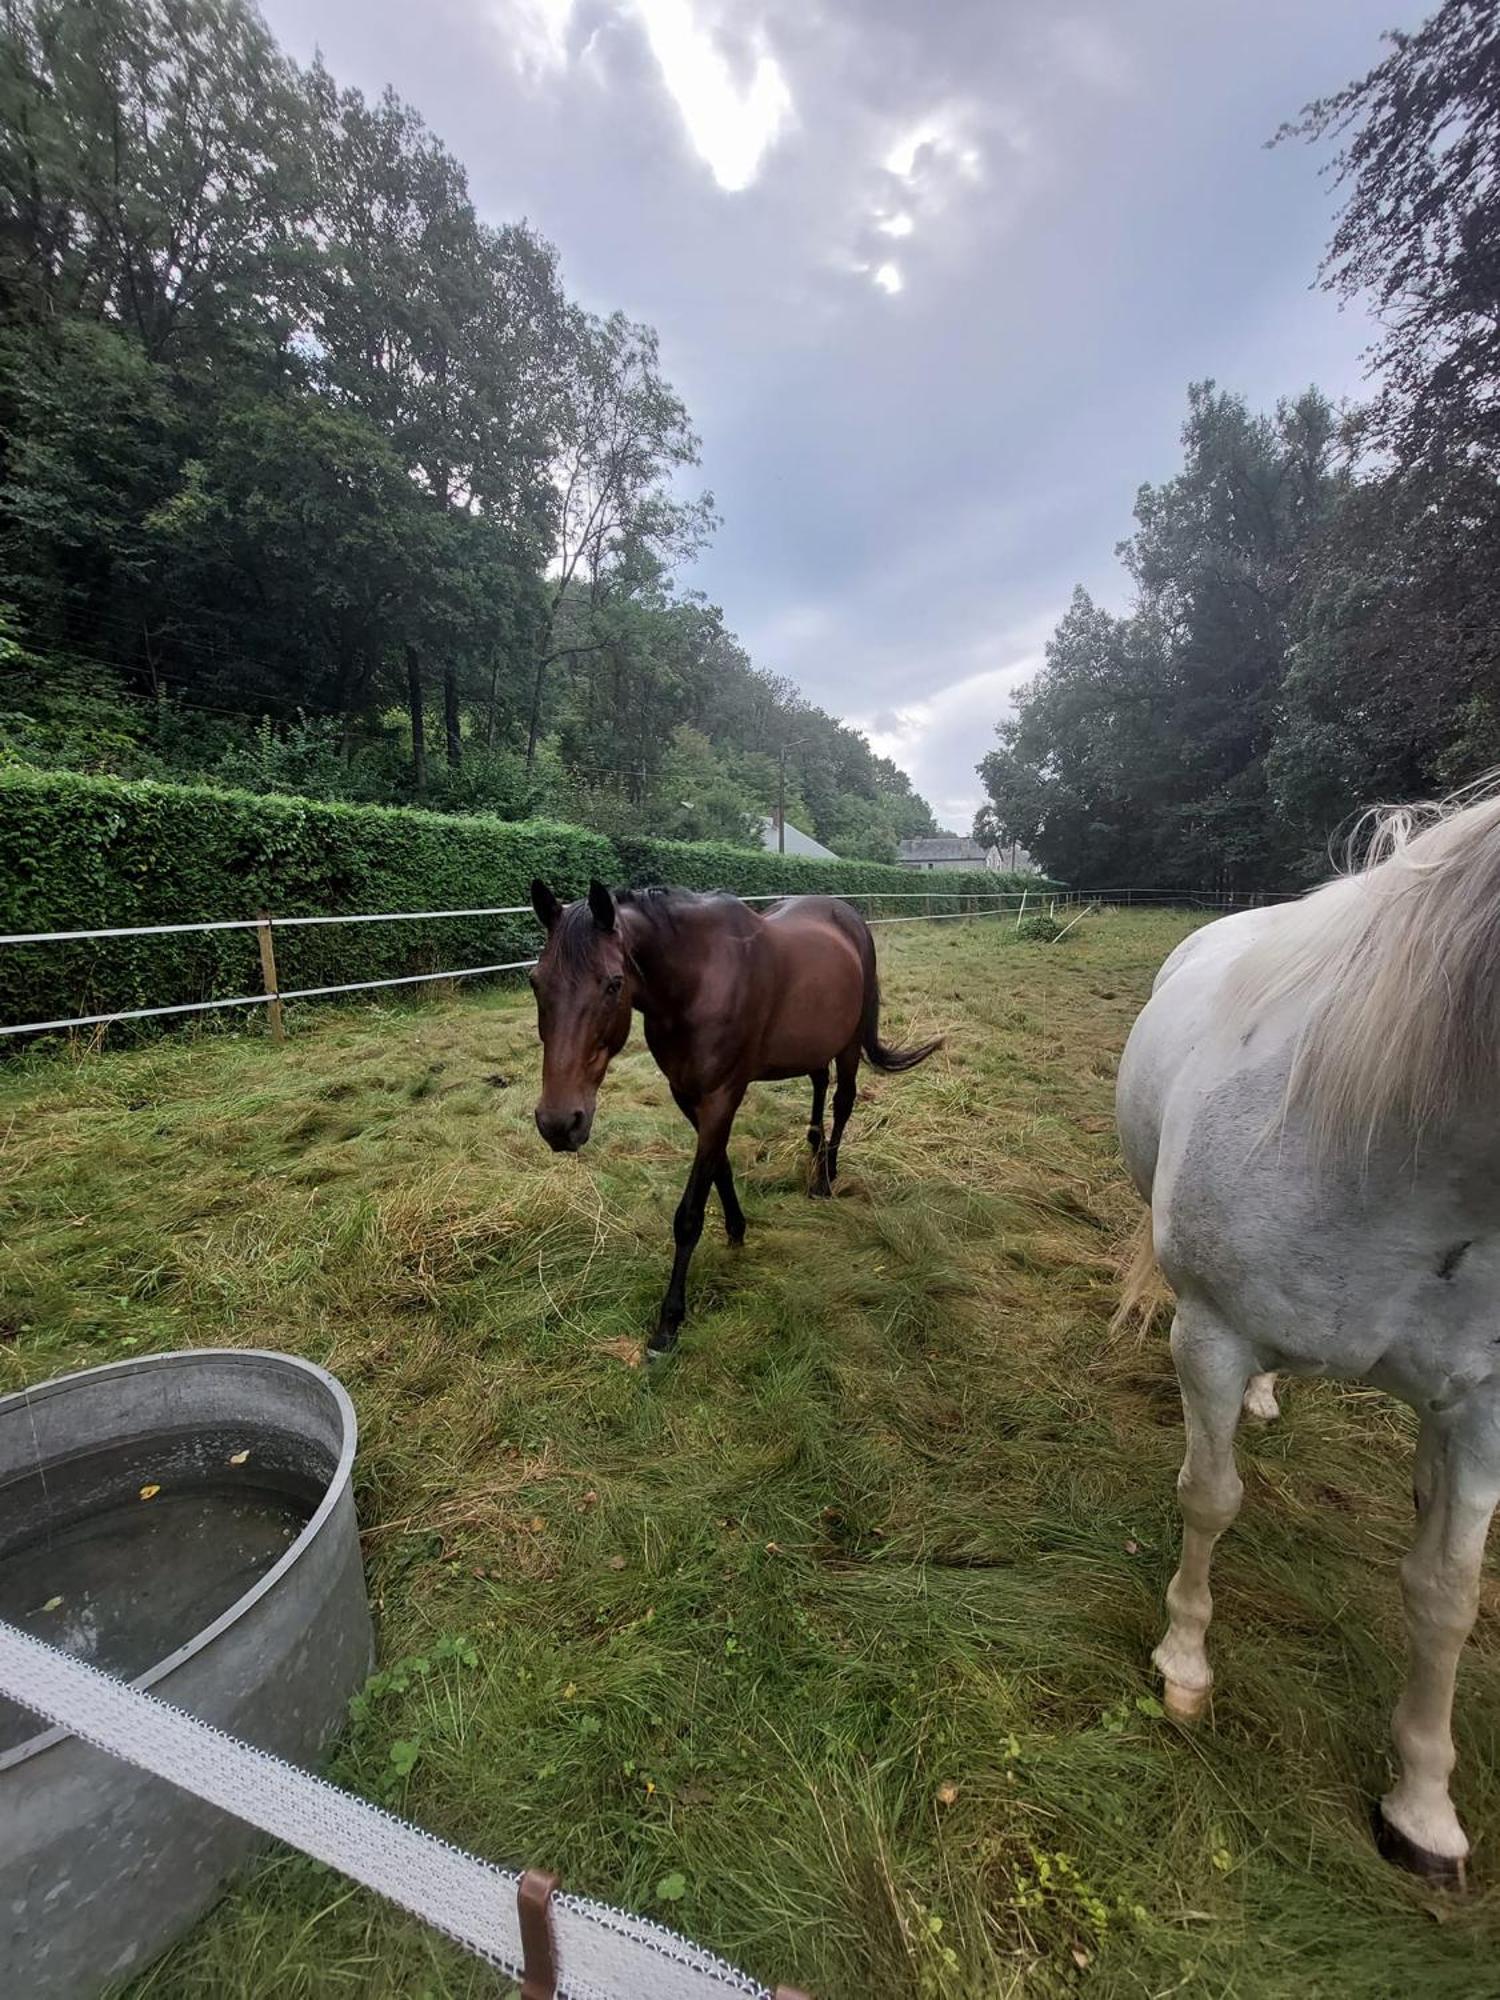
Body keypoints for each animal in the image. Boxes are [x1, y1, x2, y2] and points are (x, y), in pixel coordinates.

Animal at [528, 880, 940, 1360]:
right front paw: (737, 1230)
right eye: (535, 981)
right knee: (820, 1085)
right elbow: (719, 1165)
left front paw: (668, 1323)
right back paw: (815, 1152)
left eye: (614, 984)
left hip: (850, 1044)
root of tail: (848, 917)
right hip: (814, 1045)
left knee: (843, 1101)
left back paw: (826, 1177)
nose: (559, 1123)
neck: (696, 980)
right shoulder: (687, 1095)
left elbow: (689, 1213)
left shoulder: (723, 1095)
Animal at [1120, 788, 1500, 1880]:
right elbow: (1209, 1498)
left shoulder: (1482, 1410)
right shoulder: (1210, 1334)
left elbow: (1447, 1593)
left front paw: (1423, 1806)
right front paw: (1184, 1662)